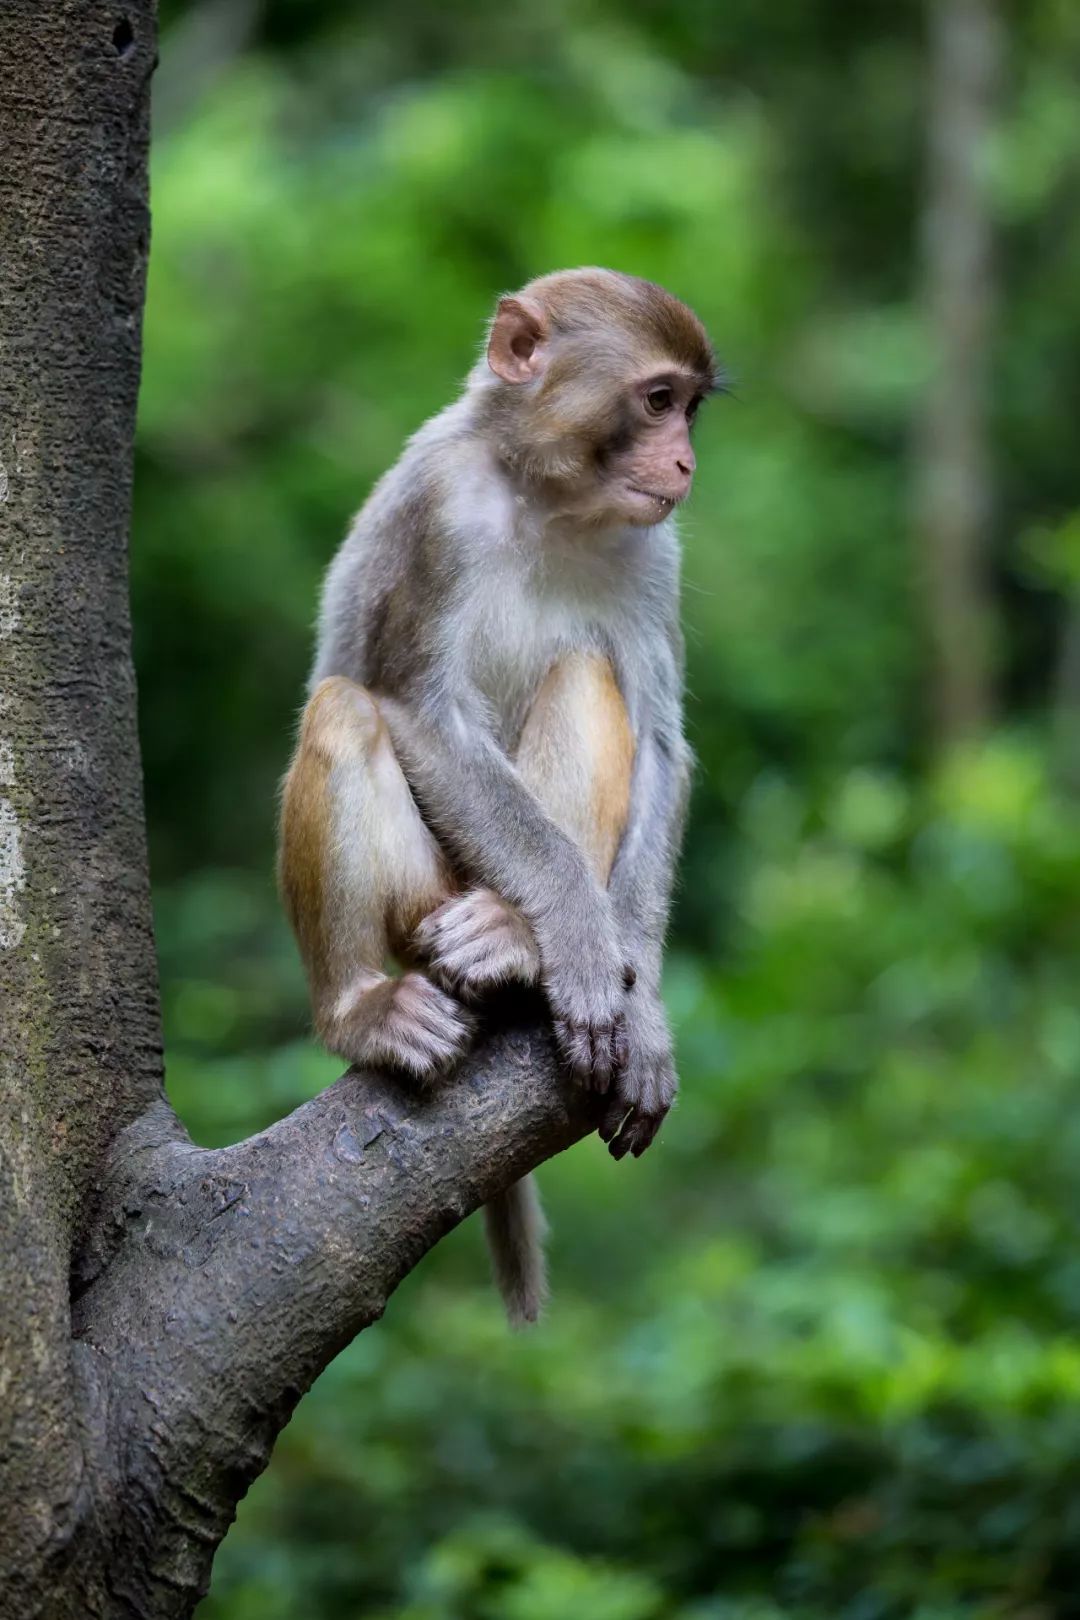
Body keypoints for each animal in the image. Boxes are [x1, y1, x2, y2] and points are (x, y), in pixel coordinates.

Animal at [281, 268, 718, 1328]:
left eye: (689, 407)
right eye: (657, 400)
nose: (685, 460)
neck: (545, 498)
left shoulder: (659, 554)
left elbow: (663, 746)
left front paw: (638, 1001)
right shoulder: (436, 511)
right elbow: (419, 713)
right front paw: (578, 940)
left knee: (588, 676)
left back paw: (515, 942)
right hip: (421, 890)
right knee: (346, 708)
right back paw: (366, 1007)